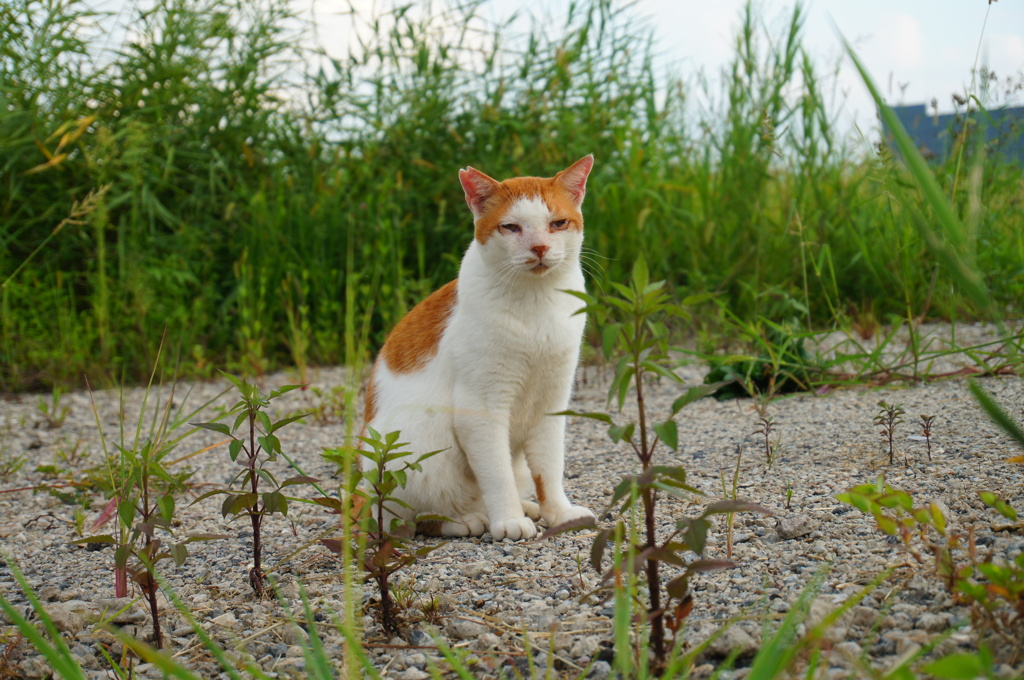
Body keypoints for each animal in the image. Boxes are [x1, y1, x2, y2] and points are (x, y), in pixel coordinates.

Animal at [362, 155, 598, 540]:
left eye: (558, 223)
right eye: (511, 228)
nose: (539, 248)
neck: (536, 303)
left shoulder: (551, 401)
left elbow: (549, 468)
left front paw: (559, 514)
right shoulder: (482, 409)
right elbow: (496, 474)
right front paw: (509, 519)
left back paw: (525, 507)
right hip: (415, 444)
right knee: (407, 520)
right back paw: (468, 520)